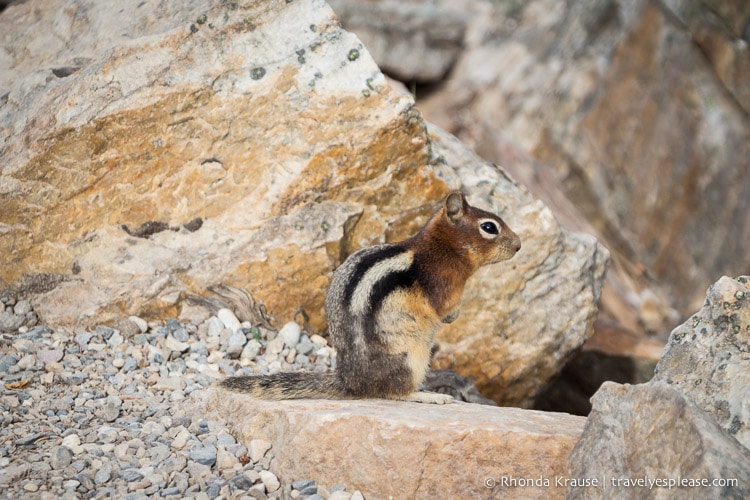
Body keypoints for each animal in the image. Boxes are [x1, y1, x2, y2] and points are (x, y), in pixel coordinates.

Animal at [220, 189, 520, 404]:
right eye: (489, 227)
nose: (519, 245)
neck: (443, 247)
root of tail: (351, 383)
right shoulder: (443, 284)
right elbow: (444, 307)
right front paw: (452, 316)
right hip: (411, 356)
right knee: (394, 392)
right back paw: (430, 396)